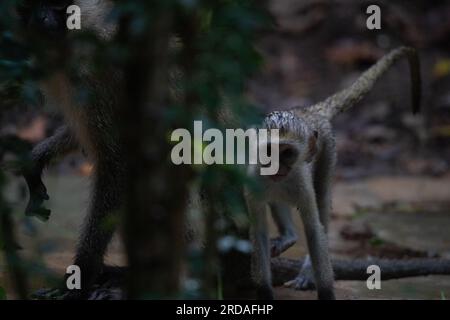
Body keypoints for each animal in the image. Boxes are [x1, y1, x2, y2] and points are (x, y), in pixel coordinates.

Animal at [246, 47, 422, 300]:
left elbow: (314, 230)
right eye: (269, 151)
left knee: (321, 199)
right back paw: (289, 235)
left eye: (287, 153)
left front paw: (324, 289)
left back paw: (305, 266)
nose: (276, 167)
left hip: (328, 149)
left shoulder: (301, 180)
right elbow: (258, 231)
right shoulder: (253, 178)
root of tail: (309, 111)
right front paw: (264, 293)